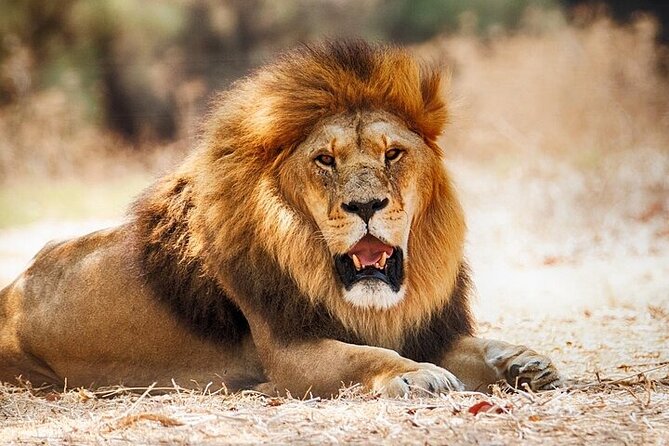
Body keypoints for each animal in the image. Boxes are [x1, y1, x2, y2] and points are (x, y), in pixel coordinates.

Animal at [0, 41, 561, 397]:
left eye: (393, 154)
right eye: (326, 160)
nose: (365, 207)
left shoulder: (428, 328)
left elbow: (477, 344)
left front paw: (524, 362)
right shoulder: (289, 351)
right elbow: (363, 356)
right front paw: (417, 375)